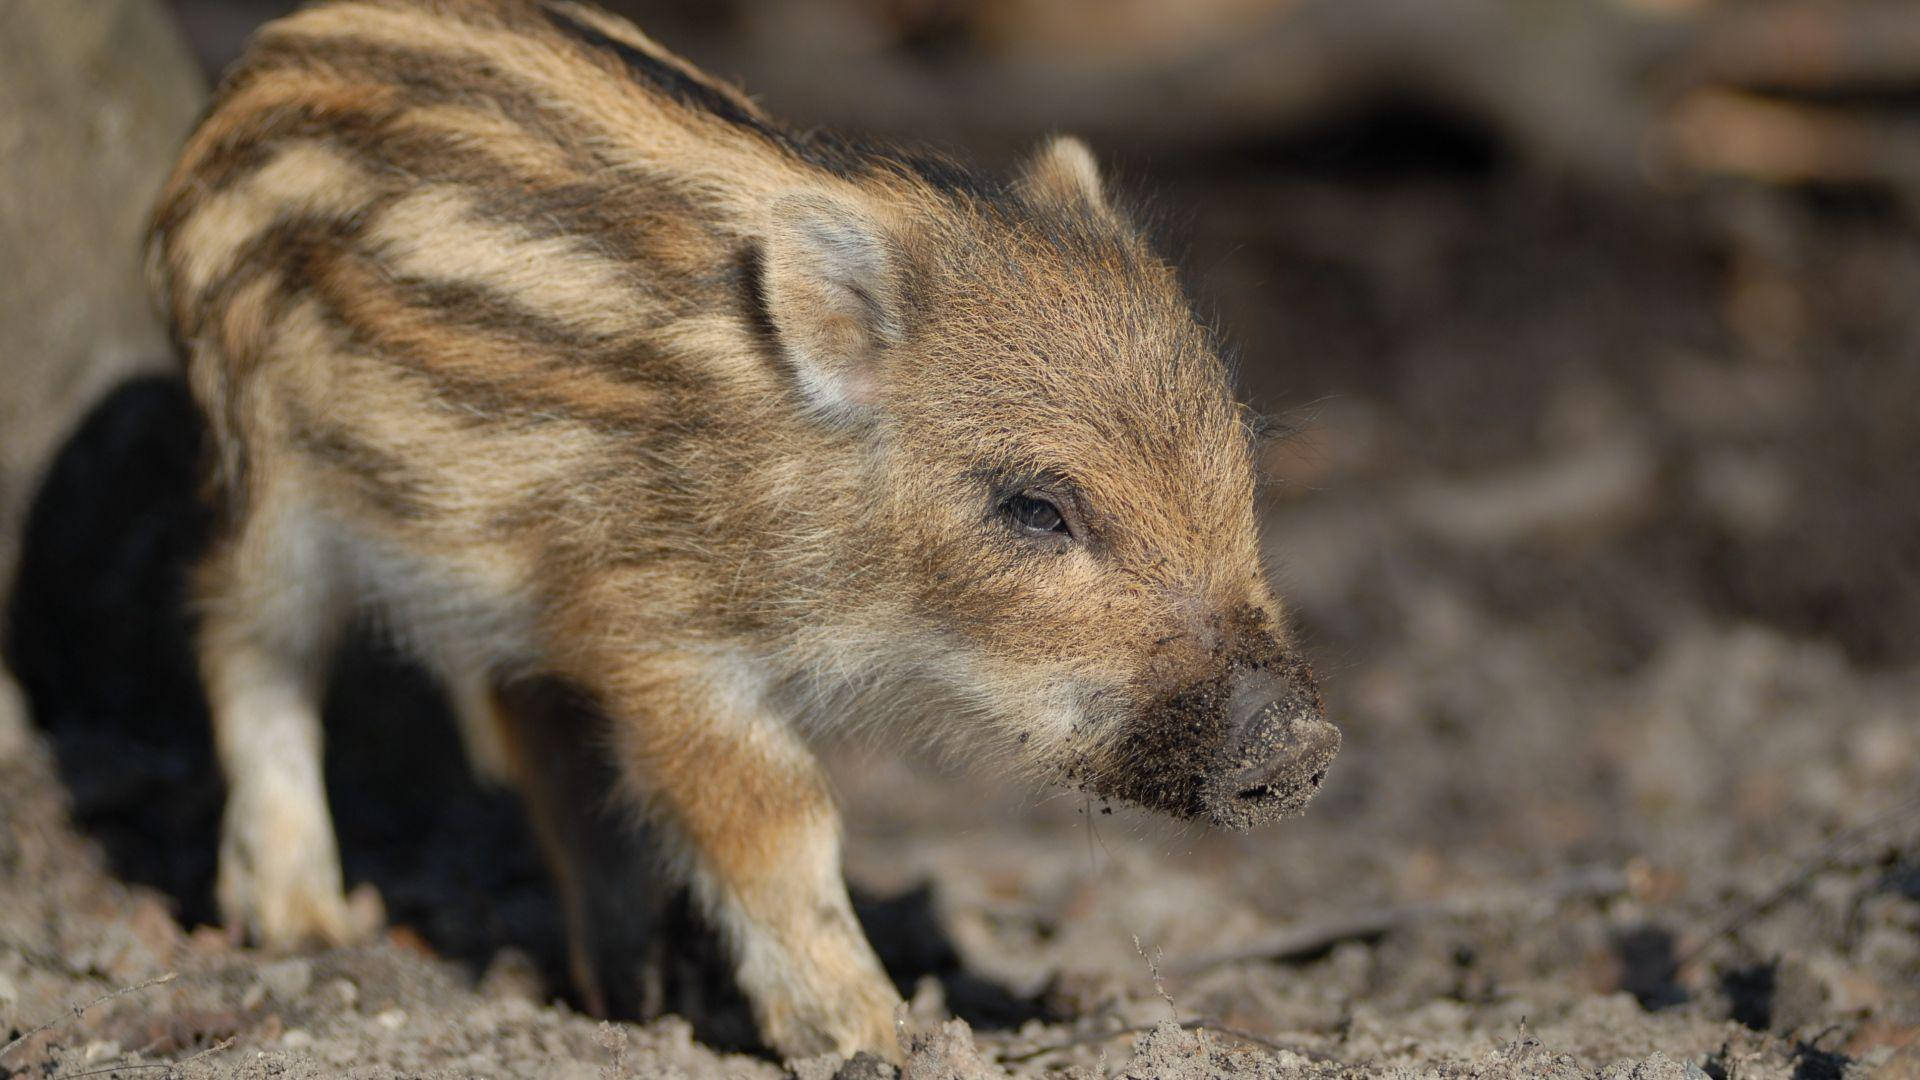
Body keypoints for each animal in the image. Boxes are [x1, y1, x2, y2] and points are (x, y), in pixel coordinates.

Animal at [144, 0, 1339, 1059]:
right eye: (1036, 509)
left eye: (1238, 463)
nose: (1302, 743)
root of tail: (256, 67)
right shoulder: (656, 628)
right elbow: (779, 816)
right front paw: (873, 1035)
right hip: (267, 483)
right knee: (241, 637)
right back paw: (301, 919)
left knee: (538, 729)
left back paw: (628, 989)